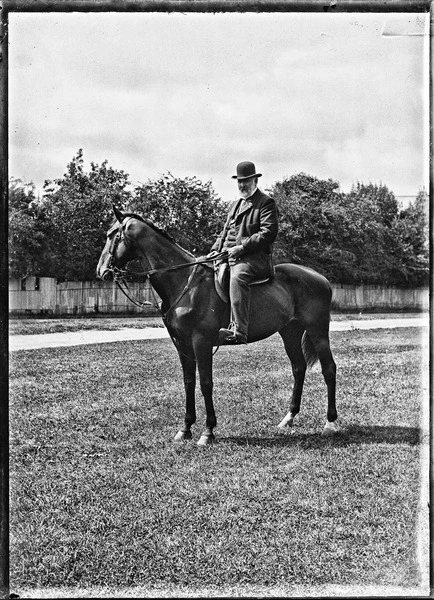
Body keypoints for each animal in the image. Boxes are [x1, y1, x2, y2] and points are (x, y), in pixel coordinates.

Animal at [96, 207, 338, 446]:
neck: (184, 281)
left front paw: (208, 431)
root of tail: (321, 278)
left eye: (111, 235)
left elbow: (205, 383)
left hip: (317, 330)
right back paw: (289, 417)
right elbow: (189, 382)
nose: (100, 271)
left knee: (329, 368)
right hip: (290, 331)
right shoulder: (182, 344)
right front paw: (185, 428)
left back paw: (330, 423)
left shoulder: (201, 342)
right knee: (298, 368)